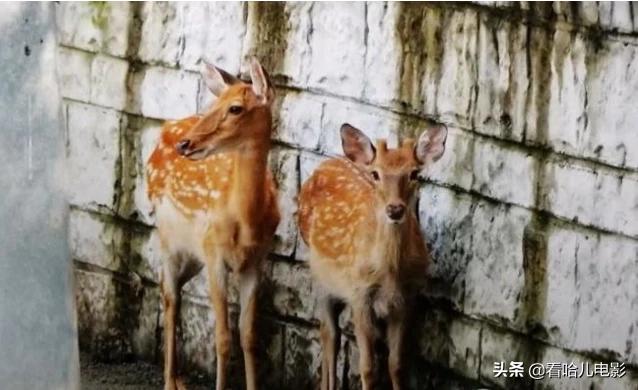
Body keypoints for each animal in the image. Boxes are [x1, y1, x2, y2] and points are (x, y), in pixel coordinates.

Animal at [149, 58, 282, 390]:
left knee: (176, 288)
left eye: (235, 108)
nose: (186, 143)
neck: (246, 222)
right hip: (168, 236)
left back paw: (179, 377)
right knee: (168, 293)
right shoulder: (214, 254)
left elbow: (248, 337)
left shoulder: (255, 261)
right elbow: (222, 338)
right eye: (214, 103)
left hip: (193, 253)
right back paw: (169, 381)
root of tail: (165, 129)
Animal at [300, 122, 450, 390]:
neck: (388, 274)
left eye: (414, 174)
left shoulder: (406, 300)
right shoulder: (359, 294)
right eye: (376, 174)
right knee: (329, 332)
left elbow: (396, 365)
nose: (395, 209)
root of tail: (325, 163)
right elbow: (368, 368)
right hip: (319, 271)